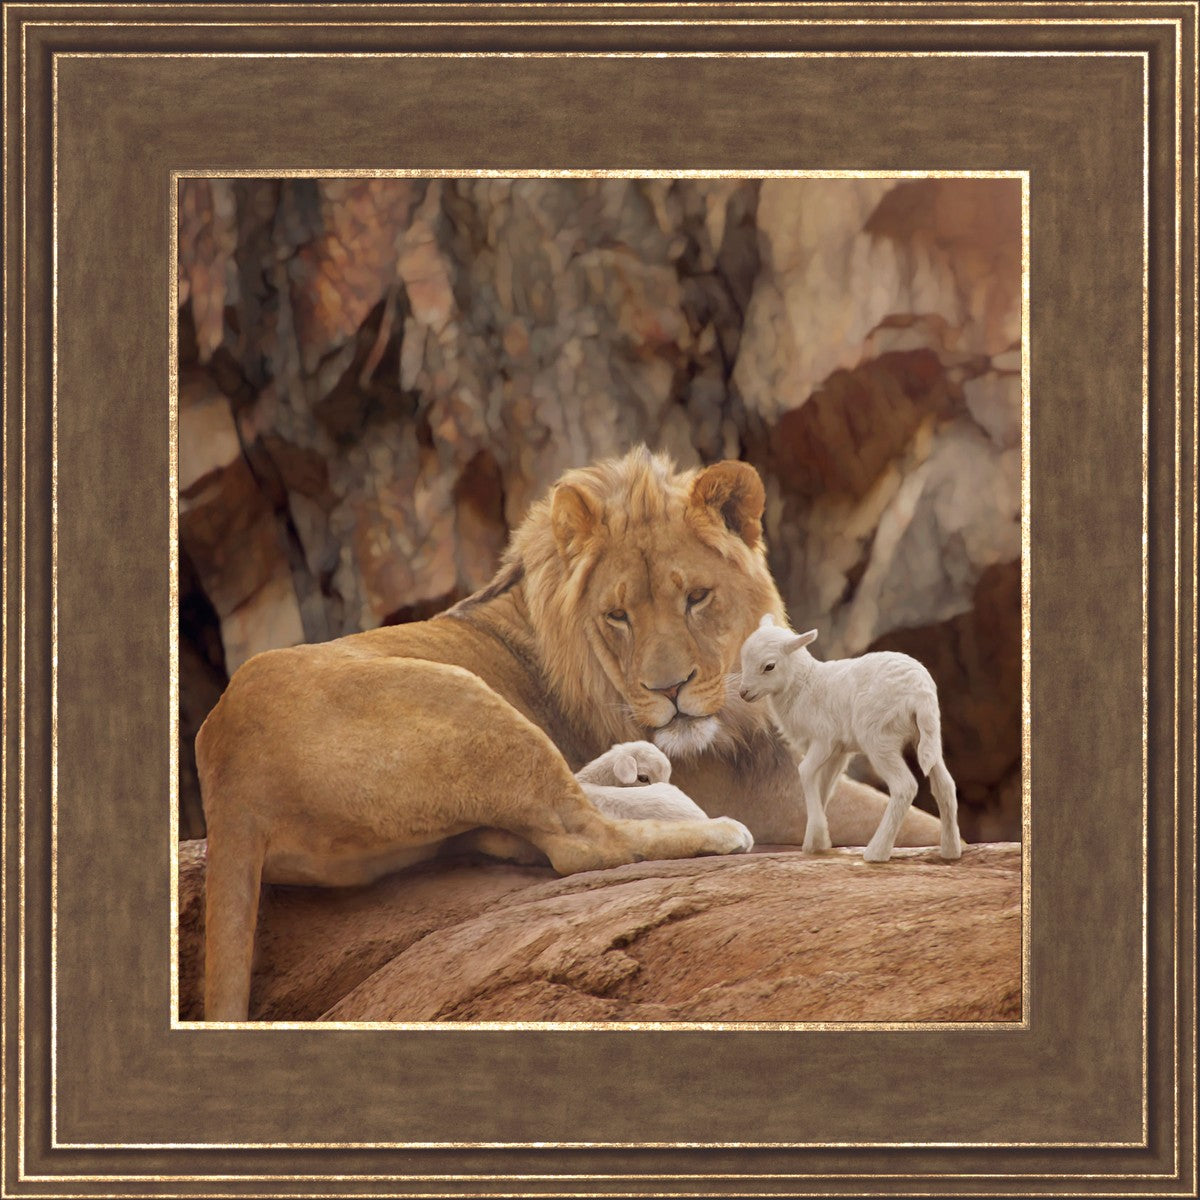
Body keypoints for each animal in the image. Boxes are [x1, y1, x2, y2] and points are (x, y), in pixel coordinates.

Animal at [738, 614, 963, 863]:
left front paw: (817, 837)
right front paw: (816, 841)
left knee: (904, 786)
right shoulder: (838, 751)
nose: (743, 693)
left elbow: (805, 772)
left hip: (878, 737)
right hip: (927, 735)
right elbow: (824, 786)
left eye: (769, 666)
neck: (804, 685)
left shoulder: (823, 739)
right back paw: (950, 850)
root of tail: (920, 693)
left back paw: (877, 852)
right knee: (945, 785)